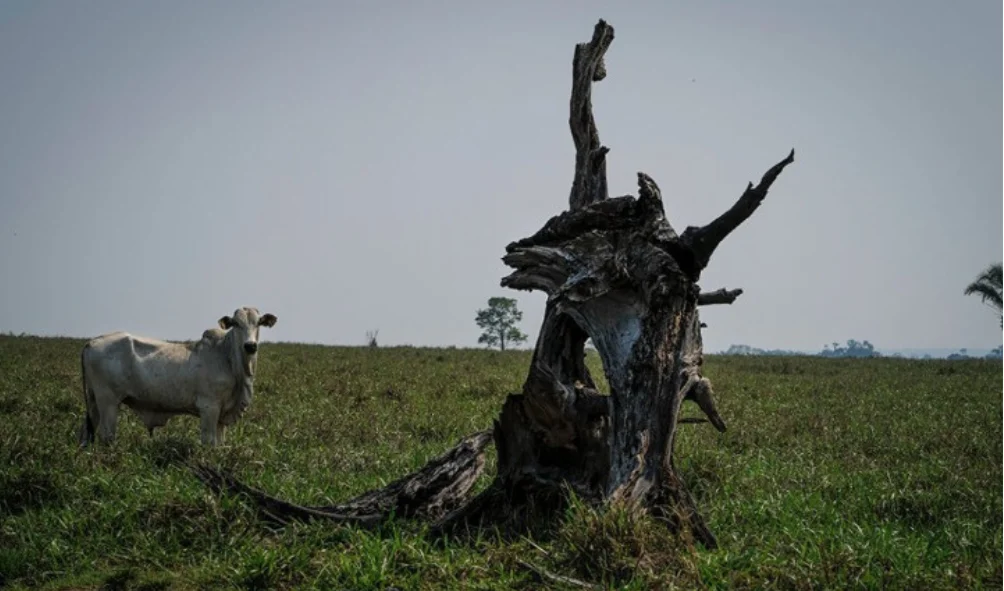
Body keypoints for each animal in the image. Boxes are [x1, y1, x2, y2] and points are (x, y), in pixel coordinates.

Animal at [78, 307, 279, 445]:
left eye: (259, 323)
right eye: (236, 324)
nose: (250, 345)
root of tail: (91, 342)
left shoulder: (222, 414)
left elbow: (220, 443)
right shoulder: (209, 407)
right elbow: (209, 442)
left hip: (94, 401)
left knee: (87, 433)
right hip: (108, 401)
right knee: (107, 435)